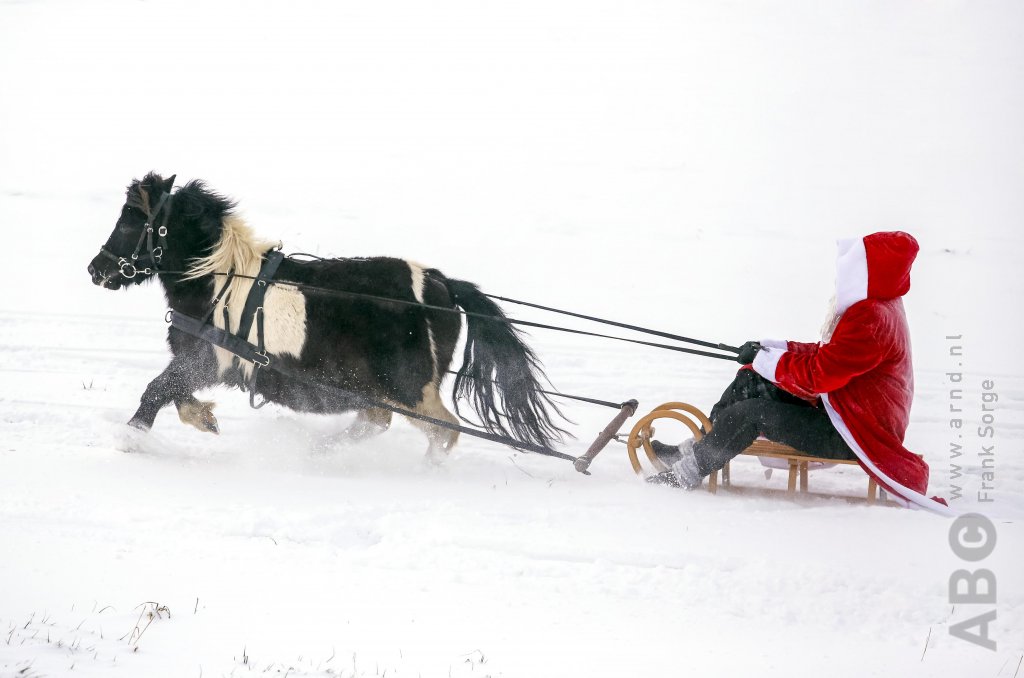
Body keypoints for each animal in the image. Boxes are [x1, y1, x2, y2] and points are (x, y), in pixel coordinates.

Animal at [86, 172, 566, 460]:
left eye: (129, 221)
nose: (95, 269)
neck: (217, 278)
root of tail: (441, 285)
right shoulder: (202, 362)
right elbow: (176, 394)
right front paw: (205, 418)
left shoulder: (206, 359)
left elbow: (157, 389)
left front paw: (131, 438)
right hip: (383, 389)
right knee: (377, 421)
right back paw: (321, 450)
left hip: (410, 388)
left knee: (443, 431)